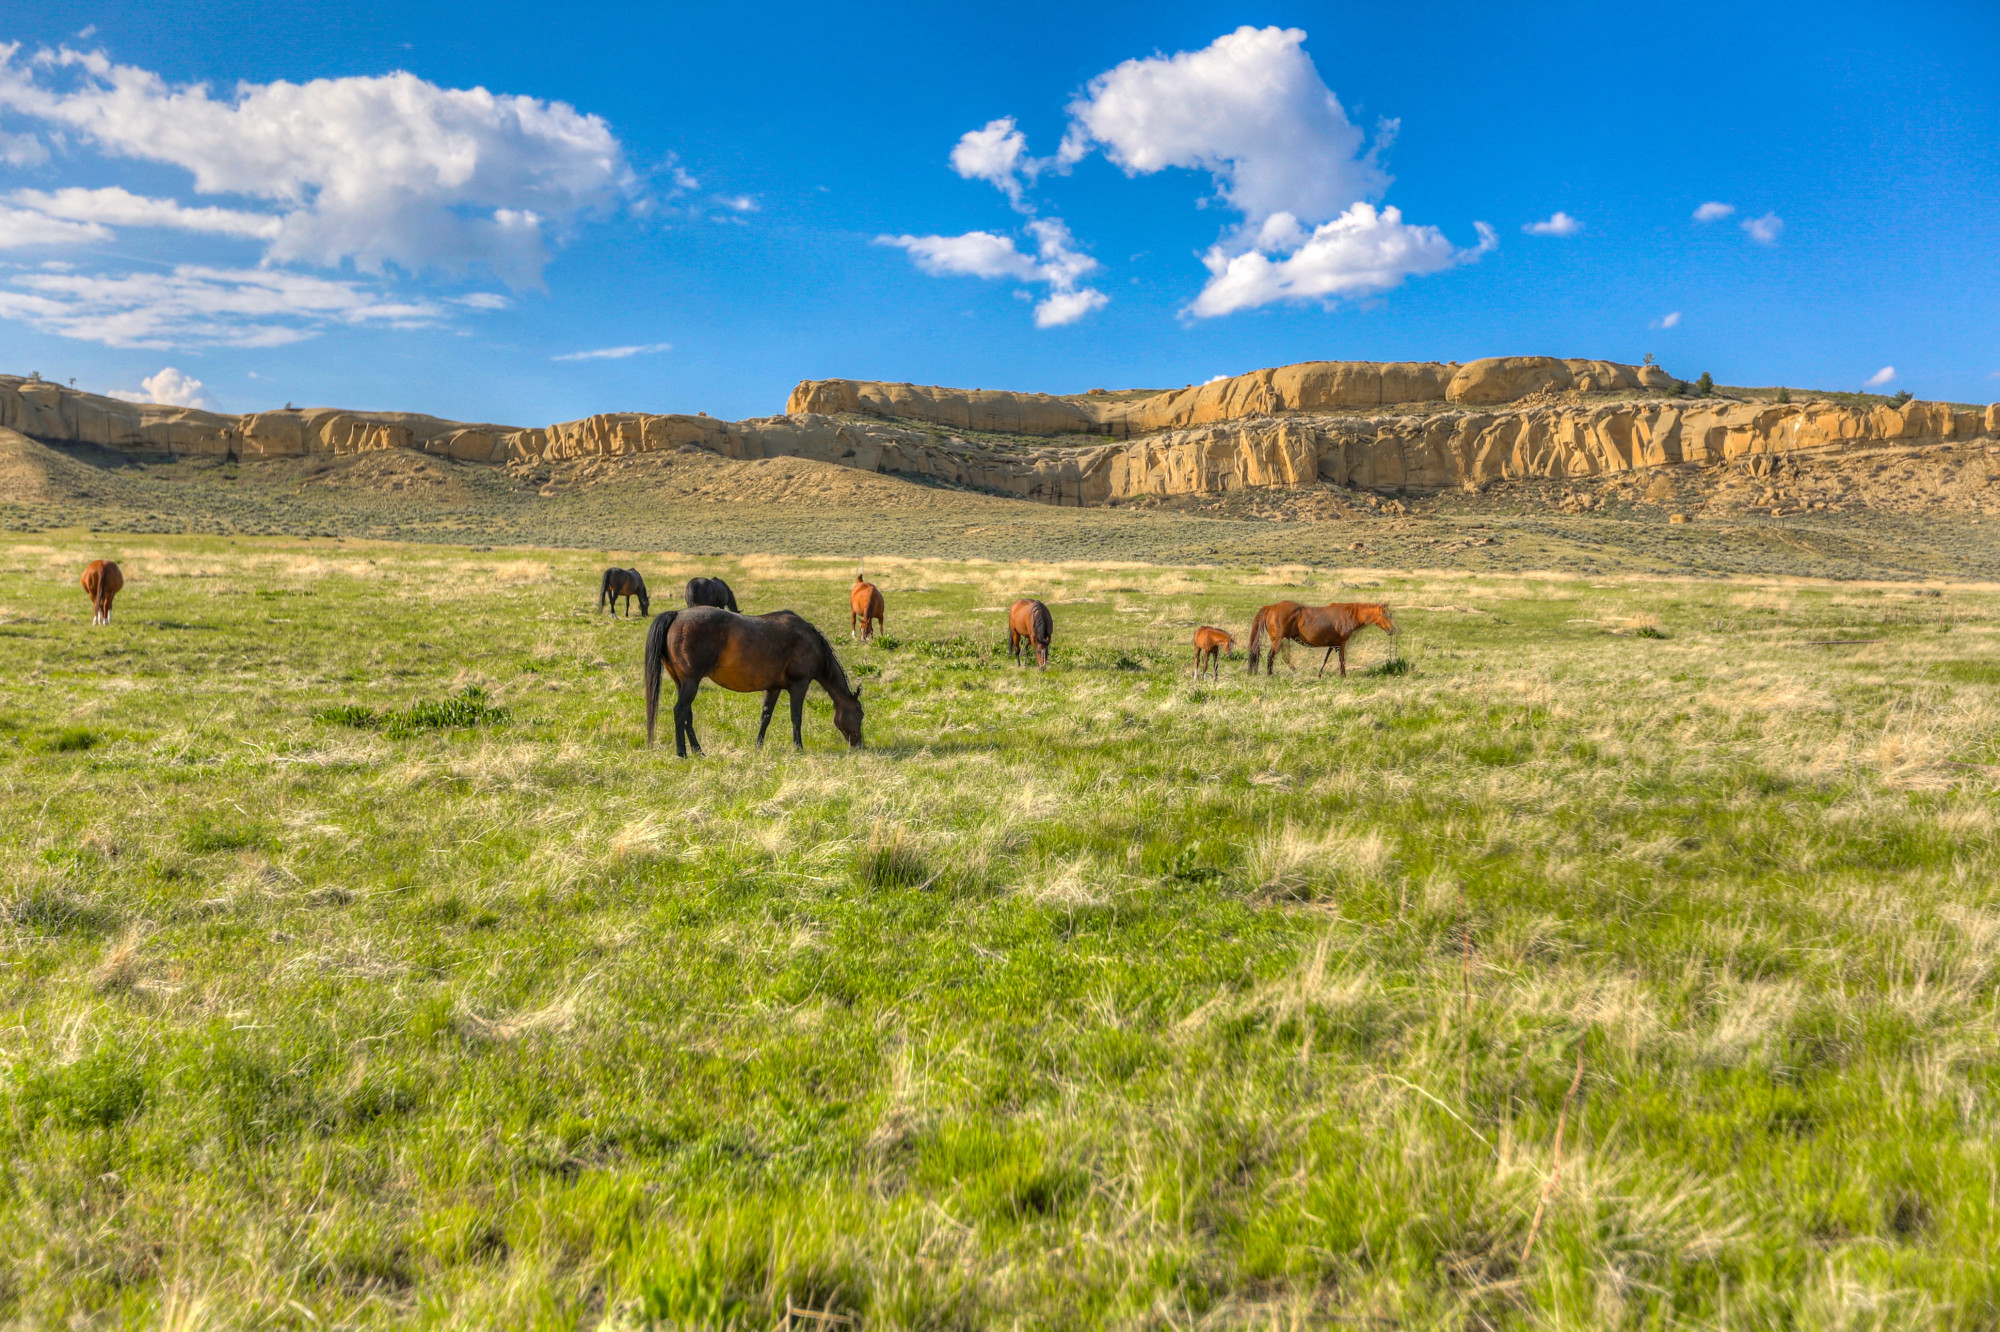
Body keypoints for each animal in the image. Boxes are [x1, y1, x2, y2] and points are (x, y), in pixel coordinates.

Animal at [640, 604, 860, 752]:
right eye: (860, 714)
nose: (859, 745)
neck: (810, 641)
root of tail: (677, 614)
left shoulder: (774, 688)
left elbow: (766, 716)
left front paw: (758, 745)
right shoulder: (799, 685)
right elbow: (796, 717)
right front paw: (798, 747)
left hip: (682, 683)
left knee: (687, 714)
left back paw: (698, 750)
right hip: (690, 682)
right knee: (680, 712)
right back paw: (682, 753)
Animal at [1240, 600, 1400, 676]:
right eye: (1387, 615)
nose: (1393, 630)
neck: (1349, 615)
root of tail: (1271, 607)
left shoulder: (1333, 644)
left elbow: (1326, 659)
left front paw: (1319, 674)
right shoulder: (1342, 643)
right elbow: (1342, 661)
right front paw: (1343, 676)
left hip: (1284, 640)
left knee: (1285, 657)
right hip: (1278, 640)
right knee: (1270, 656)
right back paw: (1270, 675)